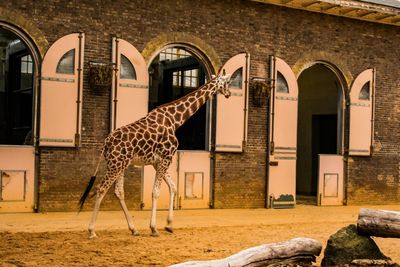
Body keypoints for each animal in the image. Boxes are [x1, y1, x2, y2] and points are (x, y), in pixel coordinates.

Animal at [79, 71, 231, 239]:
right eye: (228, 82)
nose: (229, 94)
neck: (175, 120)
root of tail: (106, 142)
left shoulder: (157, 161)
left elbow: (173, 187)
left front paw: (169, 225)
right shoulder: (166, 157)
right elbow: (156, 192)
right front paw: (154, 228)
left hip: (120, 165)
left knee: (118, 192)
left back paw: (133, 229)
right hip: (116, 165)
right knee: (101, 189)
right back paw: (92, 231)